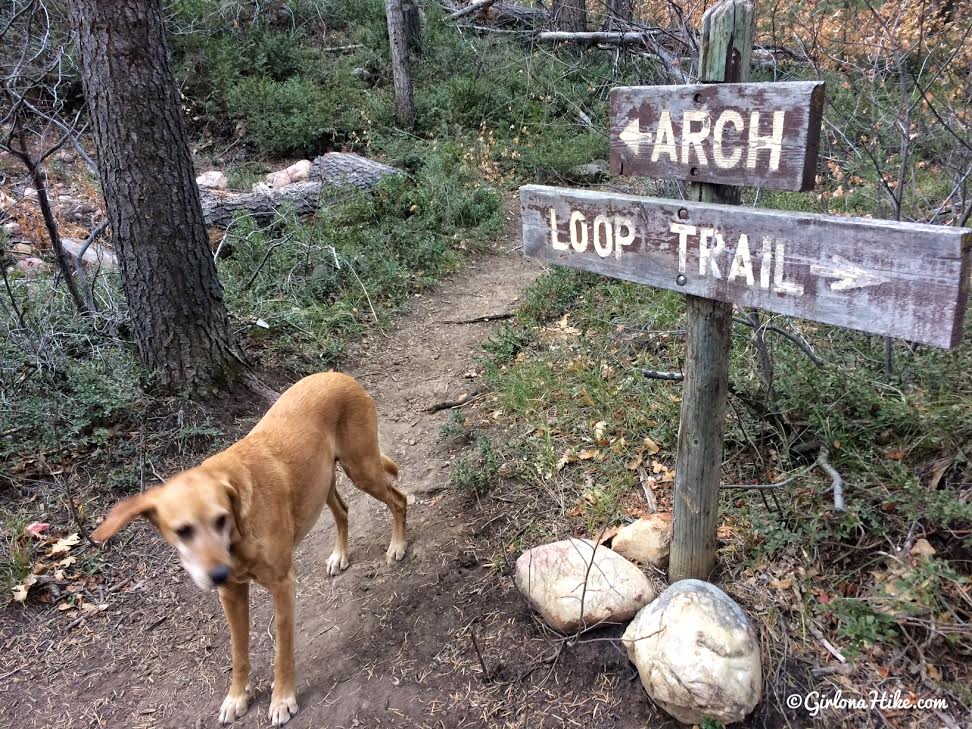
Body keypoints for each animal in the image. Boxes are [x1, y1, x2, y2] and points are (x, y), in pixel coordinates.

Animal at [91, 372, 406, 724]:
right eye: (183, 531)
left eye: (221, 519)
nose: (218, 574)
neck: (237, 537)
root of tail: (339, 374)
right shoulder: (231, 595)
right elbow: (238, 652)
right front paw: (237, 697)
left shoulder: (282, 586)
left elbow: (282, 651)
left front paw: (282, 699)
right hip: (322, 484)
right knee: (343, 510)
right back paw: (340, 556)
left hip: (362, 469)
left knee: (399, 499)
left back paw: (397, 546)